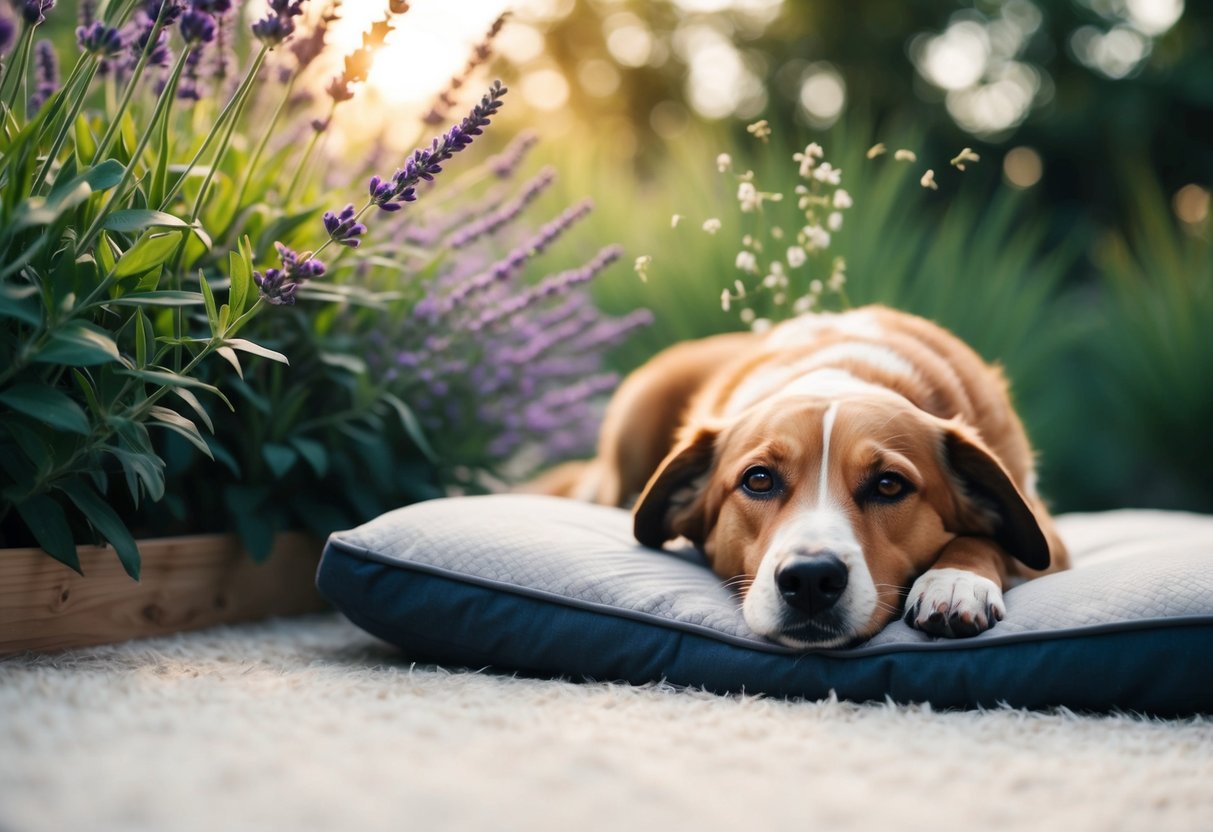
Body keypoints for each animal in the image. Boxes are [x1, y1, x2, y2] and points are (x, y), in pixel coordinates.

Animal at [533, 306, 1072, 650]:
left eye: (889, 485)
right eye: (758, 480)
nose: (811, 579)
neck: (841, 370)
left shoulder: (1051, 543)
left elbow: (987, 539)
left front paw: (955, 580)